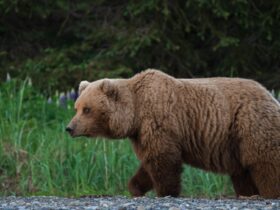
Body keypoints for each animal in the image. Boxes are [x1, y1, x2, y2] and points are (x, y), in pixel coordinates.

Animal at [66, 69, 280, 199]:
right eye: (77, 107)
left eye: (87, 109)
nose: (69, 128)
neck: (136, 112)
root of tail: (270, 96)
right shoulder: (141, 133)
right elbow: (149, 162)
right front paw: (136, 186)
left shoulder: (159, 121)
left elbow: (163, 161)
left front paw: (166, 192)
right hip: (234, 143)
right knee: (242, 172)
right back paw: (248, 194)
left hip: (249, 123)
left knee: (265, 162)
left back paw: (269, 192)